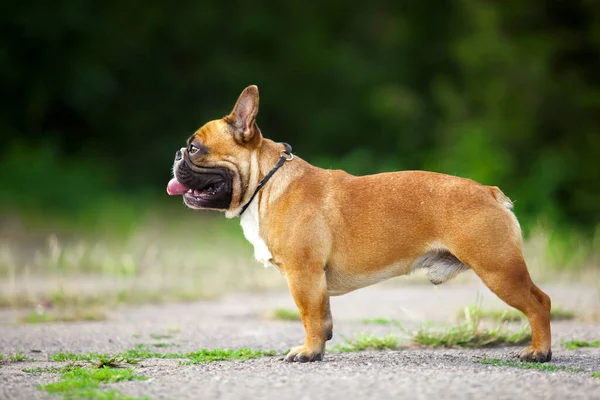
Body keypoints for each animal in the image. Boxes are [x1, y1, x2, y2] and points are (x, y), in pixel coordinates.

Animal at [166, 84, 552, 362]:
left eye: (196, 148)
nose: (177, 154)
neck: (266, 183)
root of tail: (489, 192)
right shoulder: (314, 282)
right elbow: (322, 317)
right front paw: (318, 349)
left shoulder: (303, 275)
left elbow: (308, 315)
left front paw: (307, 352)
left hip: (498, 268)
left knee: (539, 303)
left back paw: (539, 351)